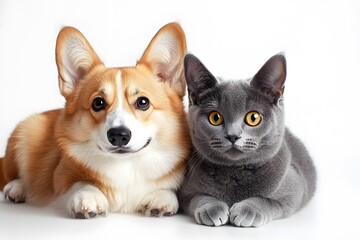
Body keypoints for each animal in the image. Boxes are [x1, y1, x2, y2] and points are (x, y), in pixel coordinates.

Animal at [0, 23, 191, 219]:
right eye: (98, 103)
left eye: (143, 102)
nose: (119, 135)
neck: (126, 166)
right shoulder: (60, 179)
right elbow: (80, 182)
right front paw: (88, 195)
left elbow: (170, 188)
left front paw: (162, 196)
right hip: (26, 130)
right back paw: (17, 188)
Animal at [179, 53, 316, 227]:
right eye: (215, 117)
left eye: (253, 118)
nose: (232, 135)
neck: (234, 173)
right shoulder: (185, 192)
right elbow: (198, 197)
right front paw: (212, 209)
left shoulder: (294, 191)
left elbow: (266, 200)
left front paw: (249, 210)